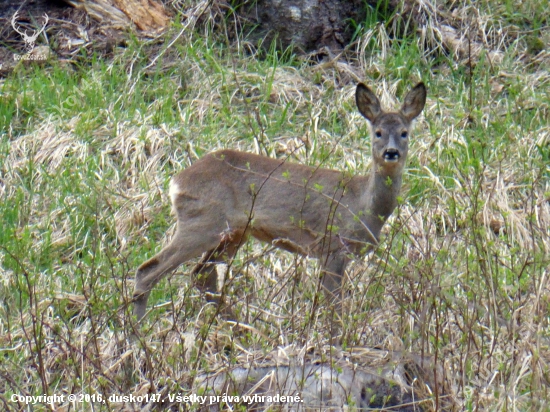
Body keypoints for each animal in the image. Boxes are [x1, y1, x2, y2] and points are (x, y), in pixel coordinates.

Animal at [133, 82, 426, 320]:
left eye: (404, 132)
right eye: (378, 132)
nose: (391, 153)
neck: (363, 205)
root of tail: (176, 182)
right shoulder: (331, 245)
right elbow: (334, 306)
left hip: (234, 232)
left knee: (202, 274)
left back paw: (237, 326)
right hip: (202, 221)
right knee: (149, 269)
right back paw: (139, 335)